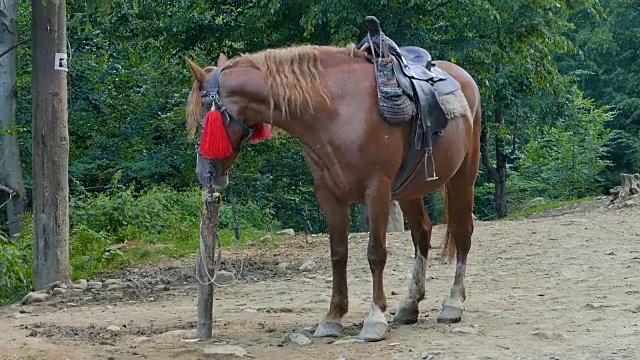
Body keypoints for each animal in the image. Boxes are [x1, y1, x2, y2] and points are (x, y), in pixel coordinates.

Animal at [184, 41, 480, 340]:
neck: (335, 110)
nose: (205, 174)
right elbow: (338, 254)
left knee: (462, 233)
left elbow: (376, 253)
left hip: (463, 178)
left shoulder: (377, 190)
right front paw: (333, 317)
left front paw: (375, 318)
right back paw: (410, 305)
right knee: (422, 234)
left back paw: (453, 303)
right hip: (410, 190)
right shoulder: (328, 194)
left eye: (203, 119)